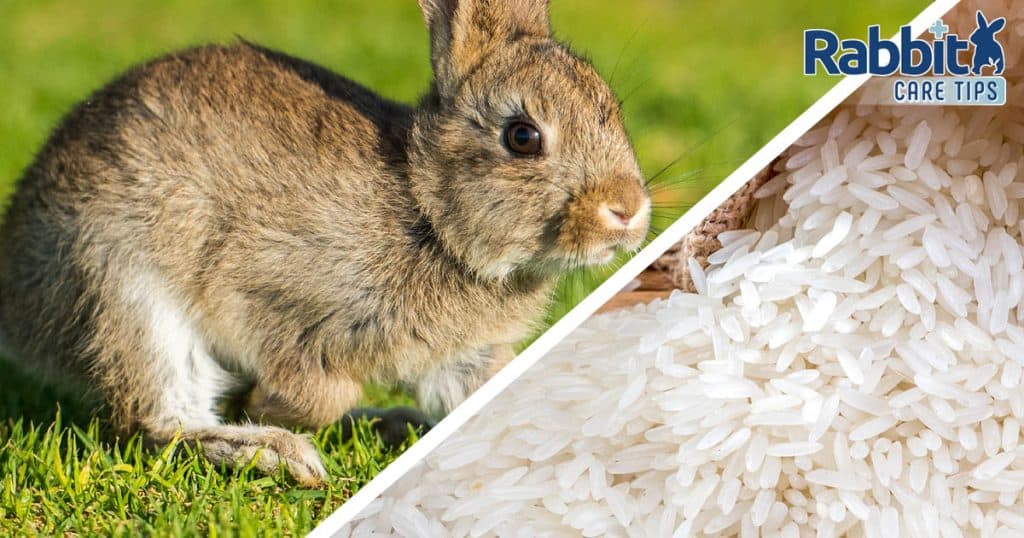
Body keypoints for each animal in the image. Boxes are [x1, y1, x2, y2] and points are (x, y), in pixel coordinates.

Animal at [0, 0, 650, 486]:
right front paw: (265, 409)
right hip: (122, 292)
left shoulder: (460, 359)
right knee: (157, 418)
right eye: (522, 136)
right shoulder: (260, 295)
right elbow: (317, 391)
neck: (429, 214)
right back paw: (274, 450)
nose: (628, 210)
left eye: (611, 110)